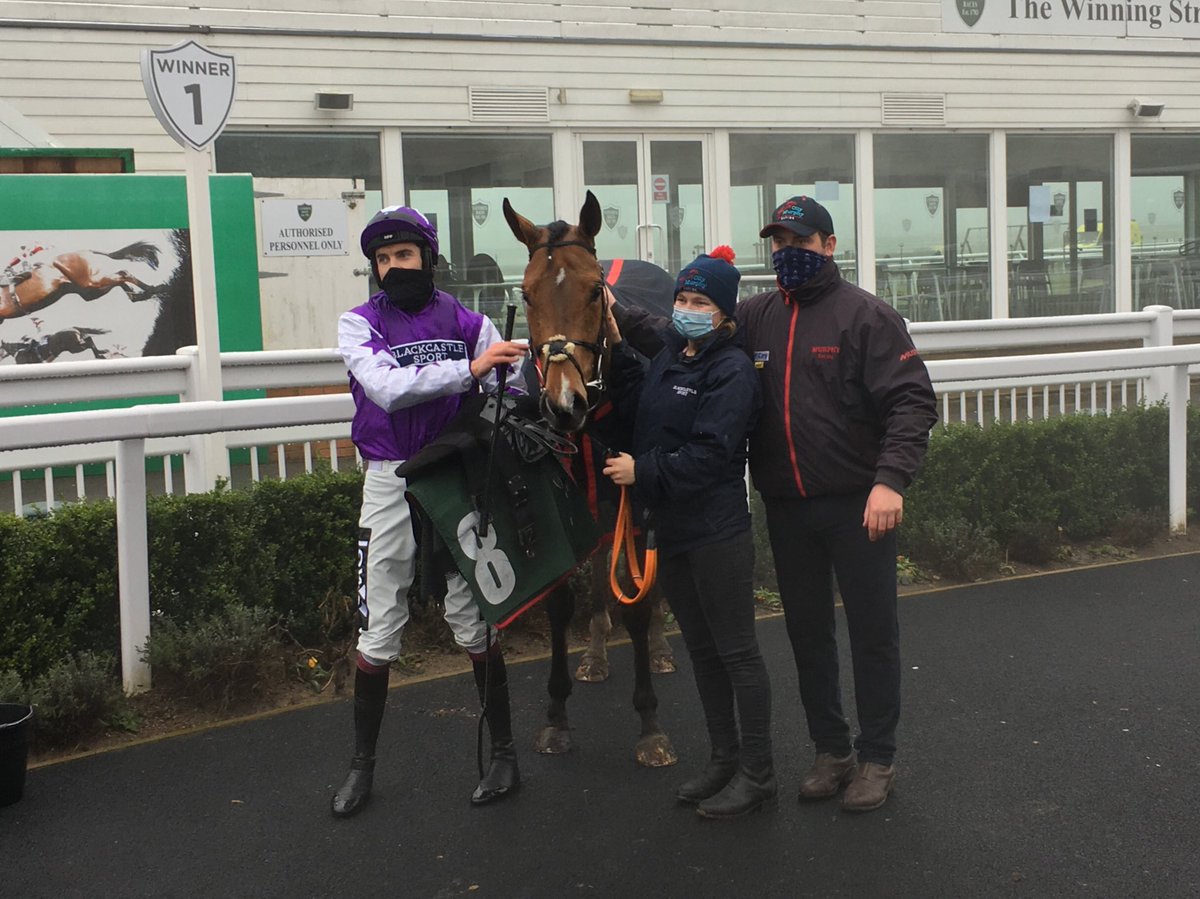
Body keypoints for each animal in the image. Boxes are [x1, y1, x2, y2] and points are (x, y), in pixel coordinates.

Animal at [0, 240, 170, 321]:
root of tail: (86, 250)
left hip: (89, 282)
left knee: (123, 274)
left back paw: (155, 289)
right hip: (89, 291)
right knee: (120, 280)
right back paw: (142, 294)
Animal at [501, 189, 681, 763]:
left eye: (594, 291)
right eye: (527, 294)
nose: (564, 405)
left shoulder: (637, 488)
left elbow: (639, 600)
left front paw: (650, 724)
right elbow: (560, 599)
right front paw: (556, 716)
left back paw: (661, 647)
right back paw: (597, 649)